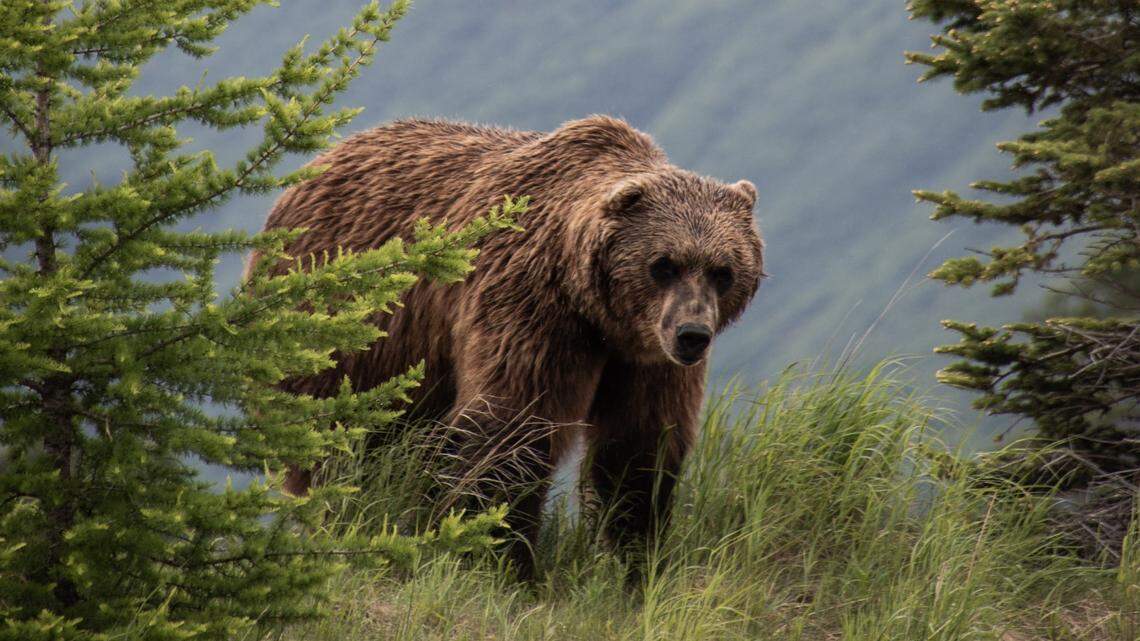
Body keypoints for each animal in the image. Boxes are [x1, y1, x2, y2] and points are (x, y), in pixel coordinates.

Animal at [251, 115, 764, 576]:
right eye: (664, 264)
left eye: (723, 270)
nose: (692, 334)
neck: (596, 311)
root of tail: (314, 166)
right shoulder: (531, 308)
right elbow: (511, 427)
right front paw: (501, 560)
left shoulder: (645, 358)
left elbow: (638, 446)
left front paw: (632, 560)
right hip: (343, 334)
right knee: (339, 444)